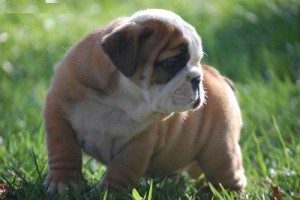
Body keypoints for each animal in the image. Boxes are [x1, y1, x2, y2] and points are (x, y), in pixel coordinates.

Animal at [44, 8, 246, 195]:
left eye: (197, 61)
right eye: (170, 63)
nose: (198, 78)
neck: (120, 99)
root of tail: (218, 76)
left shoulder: (137, 145)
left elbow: (120, 170)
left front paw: (109, 193)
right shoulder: (58, 116)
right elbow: (64, 151)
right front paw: (64, 184)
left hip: (219, 150)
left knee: (227, 174)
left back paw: (223, 192)